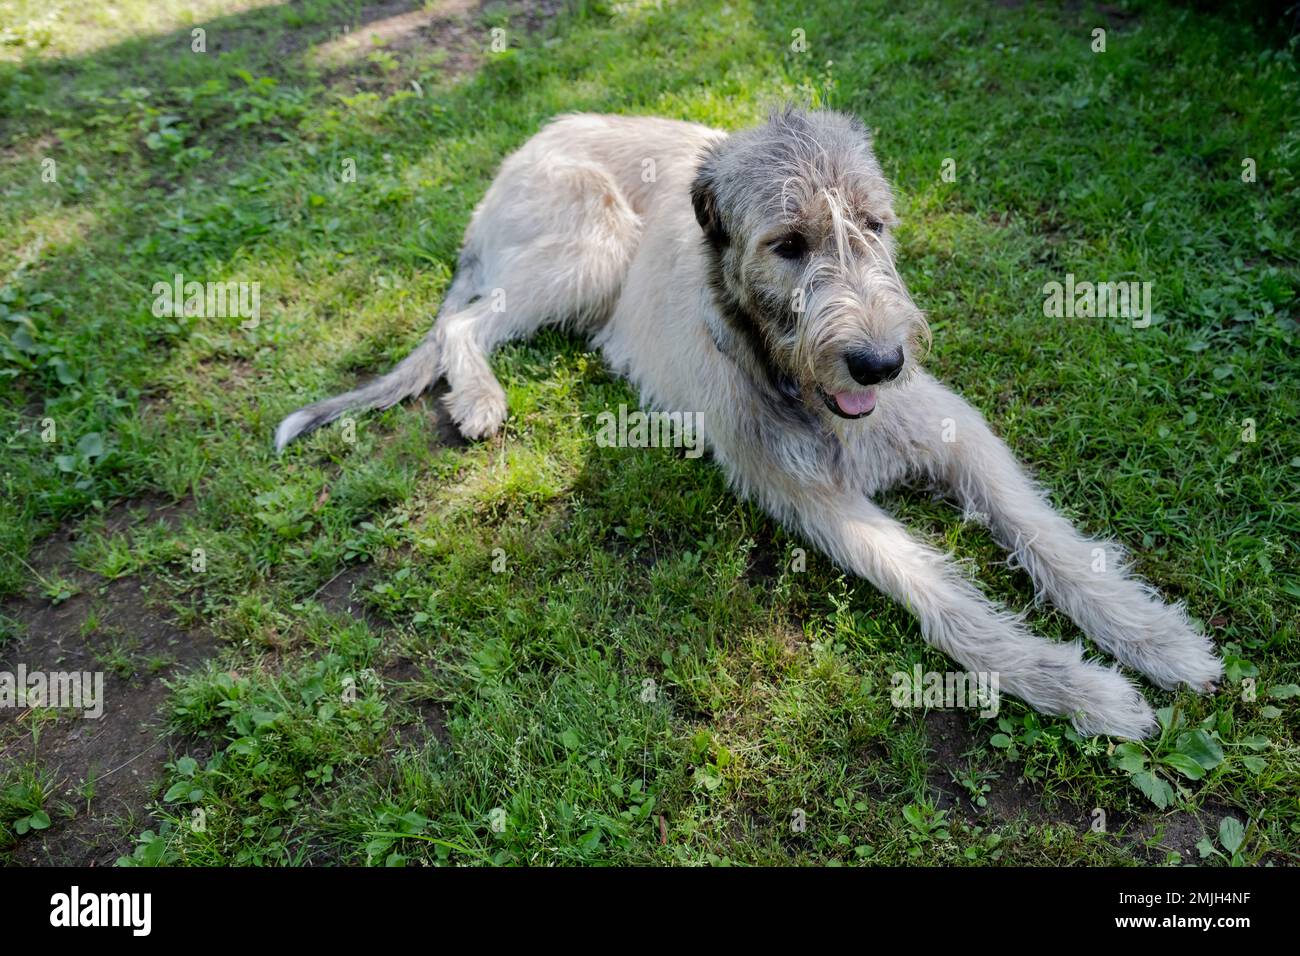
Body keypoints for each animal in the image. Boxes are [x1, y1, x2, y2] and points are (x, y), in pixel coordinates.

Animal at [274, 111, 1216, 738]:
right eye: (788, 244)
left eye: (874, 224)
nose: (880, 363)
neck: (797, 382)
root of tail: (532, 140)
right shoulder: (803, 492)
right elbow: (947, 599)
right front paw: (1075, 685)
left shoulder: (951, 427)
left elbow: (1048, 535)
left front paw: (1154, 636)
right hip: (589, 249)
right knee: (464, 327)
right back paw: (477, 396)